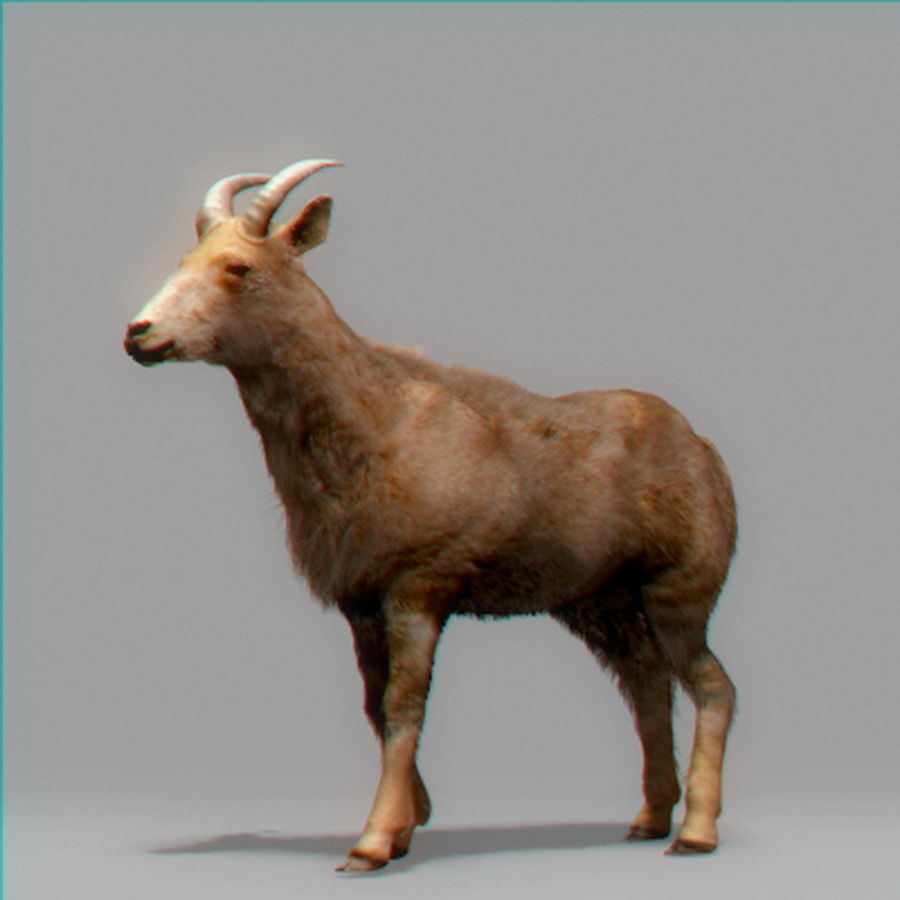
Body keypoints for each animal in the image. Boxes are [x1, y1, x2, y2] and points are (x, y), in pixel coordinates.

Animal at [124, 159, 737, 872]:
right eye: (186, 257)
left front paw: (370, 844)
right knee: (648, 685)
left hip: (679, 594)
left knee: (712, 687)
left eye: (239, 267)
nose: (140, 334)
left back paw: (696, 832)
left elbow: (404, 705)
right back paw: (649, 819)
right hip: (601, 607)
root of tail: (703, 451)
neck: (374, 428)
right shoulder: (360, 603)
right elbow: (374, 704)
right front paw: (406, 828)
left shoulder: (420, 588)